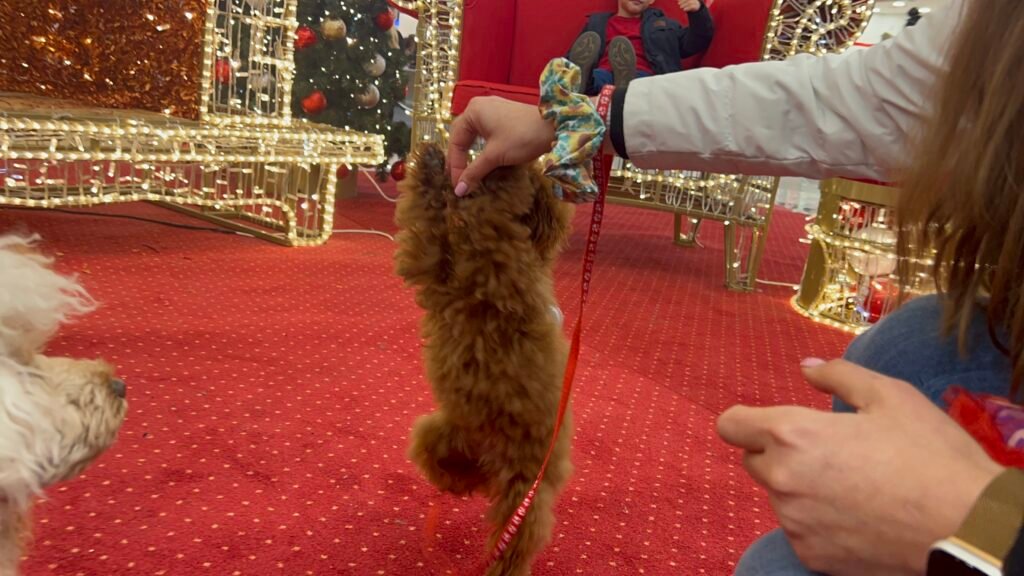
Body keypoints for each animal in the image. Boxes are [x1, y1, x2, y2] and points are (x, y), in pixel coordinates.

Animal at [395, 144, 575, 575]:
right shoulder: (436, 268)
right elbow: (431, 219)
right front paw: (432, 163)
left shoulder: (492, 260)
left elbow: (483, 211)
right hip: (443, 433)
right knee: (443, 463)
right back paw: (459, 483)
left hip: (523, 492)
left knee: (516, 540)